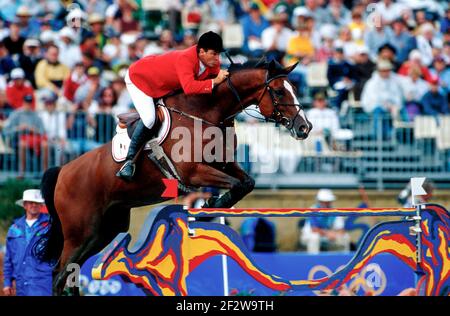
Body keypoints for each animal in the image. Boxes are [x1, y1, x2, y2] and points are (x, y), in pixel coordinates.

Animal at [38, 58, 312, 296]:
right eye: (279, 92)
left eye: (293, 89)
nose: (304, 128)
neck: (206, 113)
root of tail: (62, 172)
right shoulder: (194, 172)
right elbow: (235, 185)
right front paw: (210, 207)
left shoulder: (223, 164)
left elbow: (246, 183)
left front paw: (210, 207)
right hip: (80, 232)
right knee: (59, 274)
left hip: (104, 231)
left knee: (71, 273)